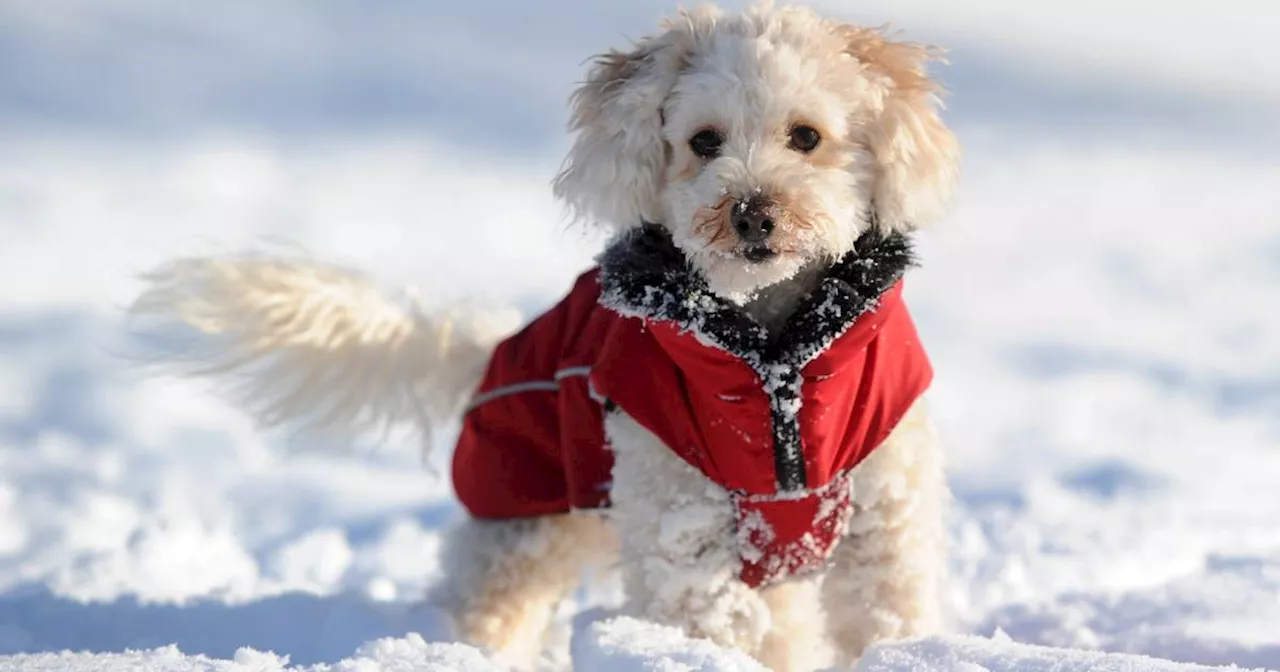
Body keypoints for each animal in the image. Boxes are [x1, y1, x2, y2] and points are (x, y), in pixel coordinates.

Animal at [129, 2, 962, 665]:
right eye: (703, 142)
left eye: (807, 136)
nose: (753, 213)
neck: (770, 358)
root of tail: (495, 349)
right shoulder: (685, 528)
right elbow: (711, 619)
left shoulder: (882, 519)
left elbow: (882, 616)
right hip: (520, 522)